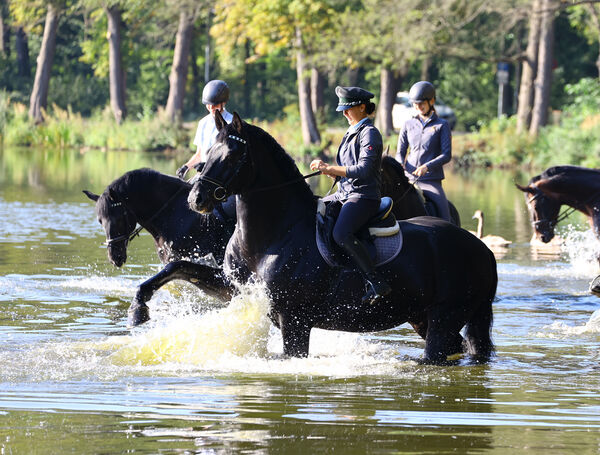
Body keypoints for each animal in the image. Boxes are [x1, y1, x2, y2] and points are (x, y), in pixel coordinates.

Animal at [188, 112, 496, 366]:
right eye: (208, 152)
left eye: (232, 156)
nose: (196, 198)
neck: (273, 238)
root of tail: (483, 250)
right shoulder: (240, 297)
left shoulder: (294, 320)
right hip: (423, 316)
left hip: (446, 317)